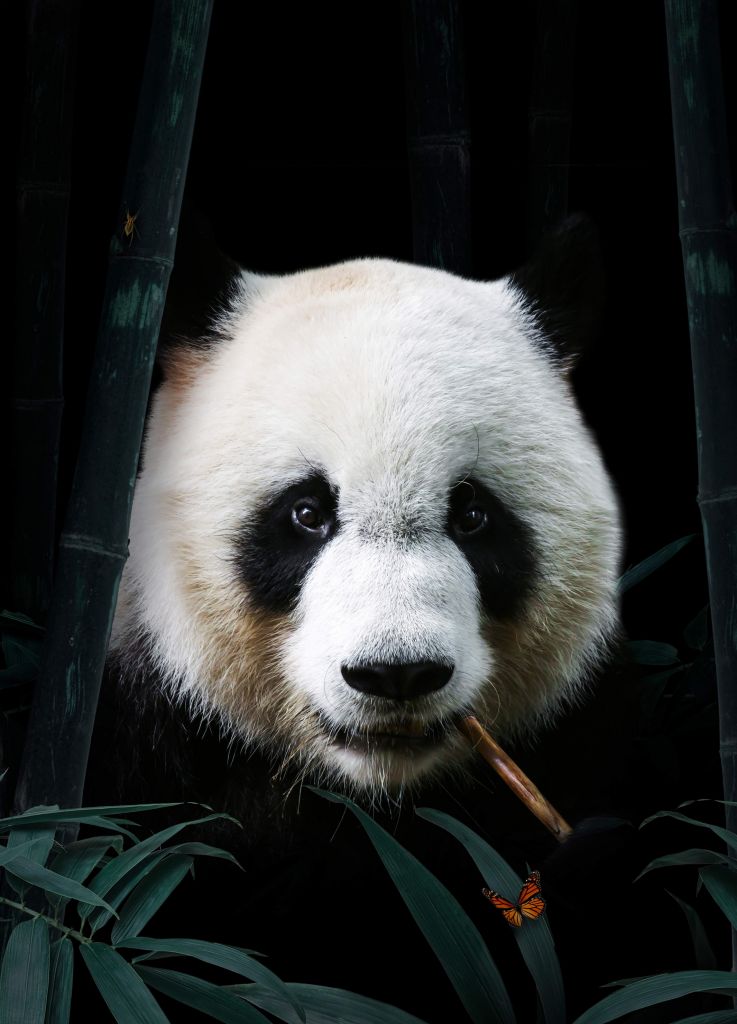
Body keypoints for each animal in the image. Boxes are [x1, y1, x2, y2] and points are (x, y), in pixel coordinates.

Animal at [92, 215, 632, 1020]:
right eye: (306, 512)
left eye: (473, 514)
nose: (396, 673)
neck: (370, 792)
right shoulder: (134, 730)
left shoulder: (589, 723)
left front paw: (593, 868)